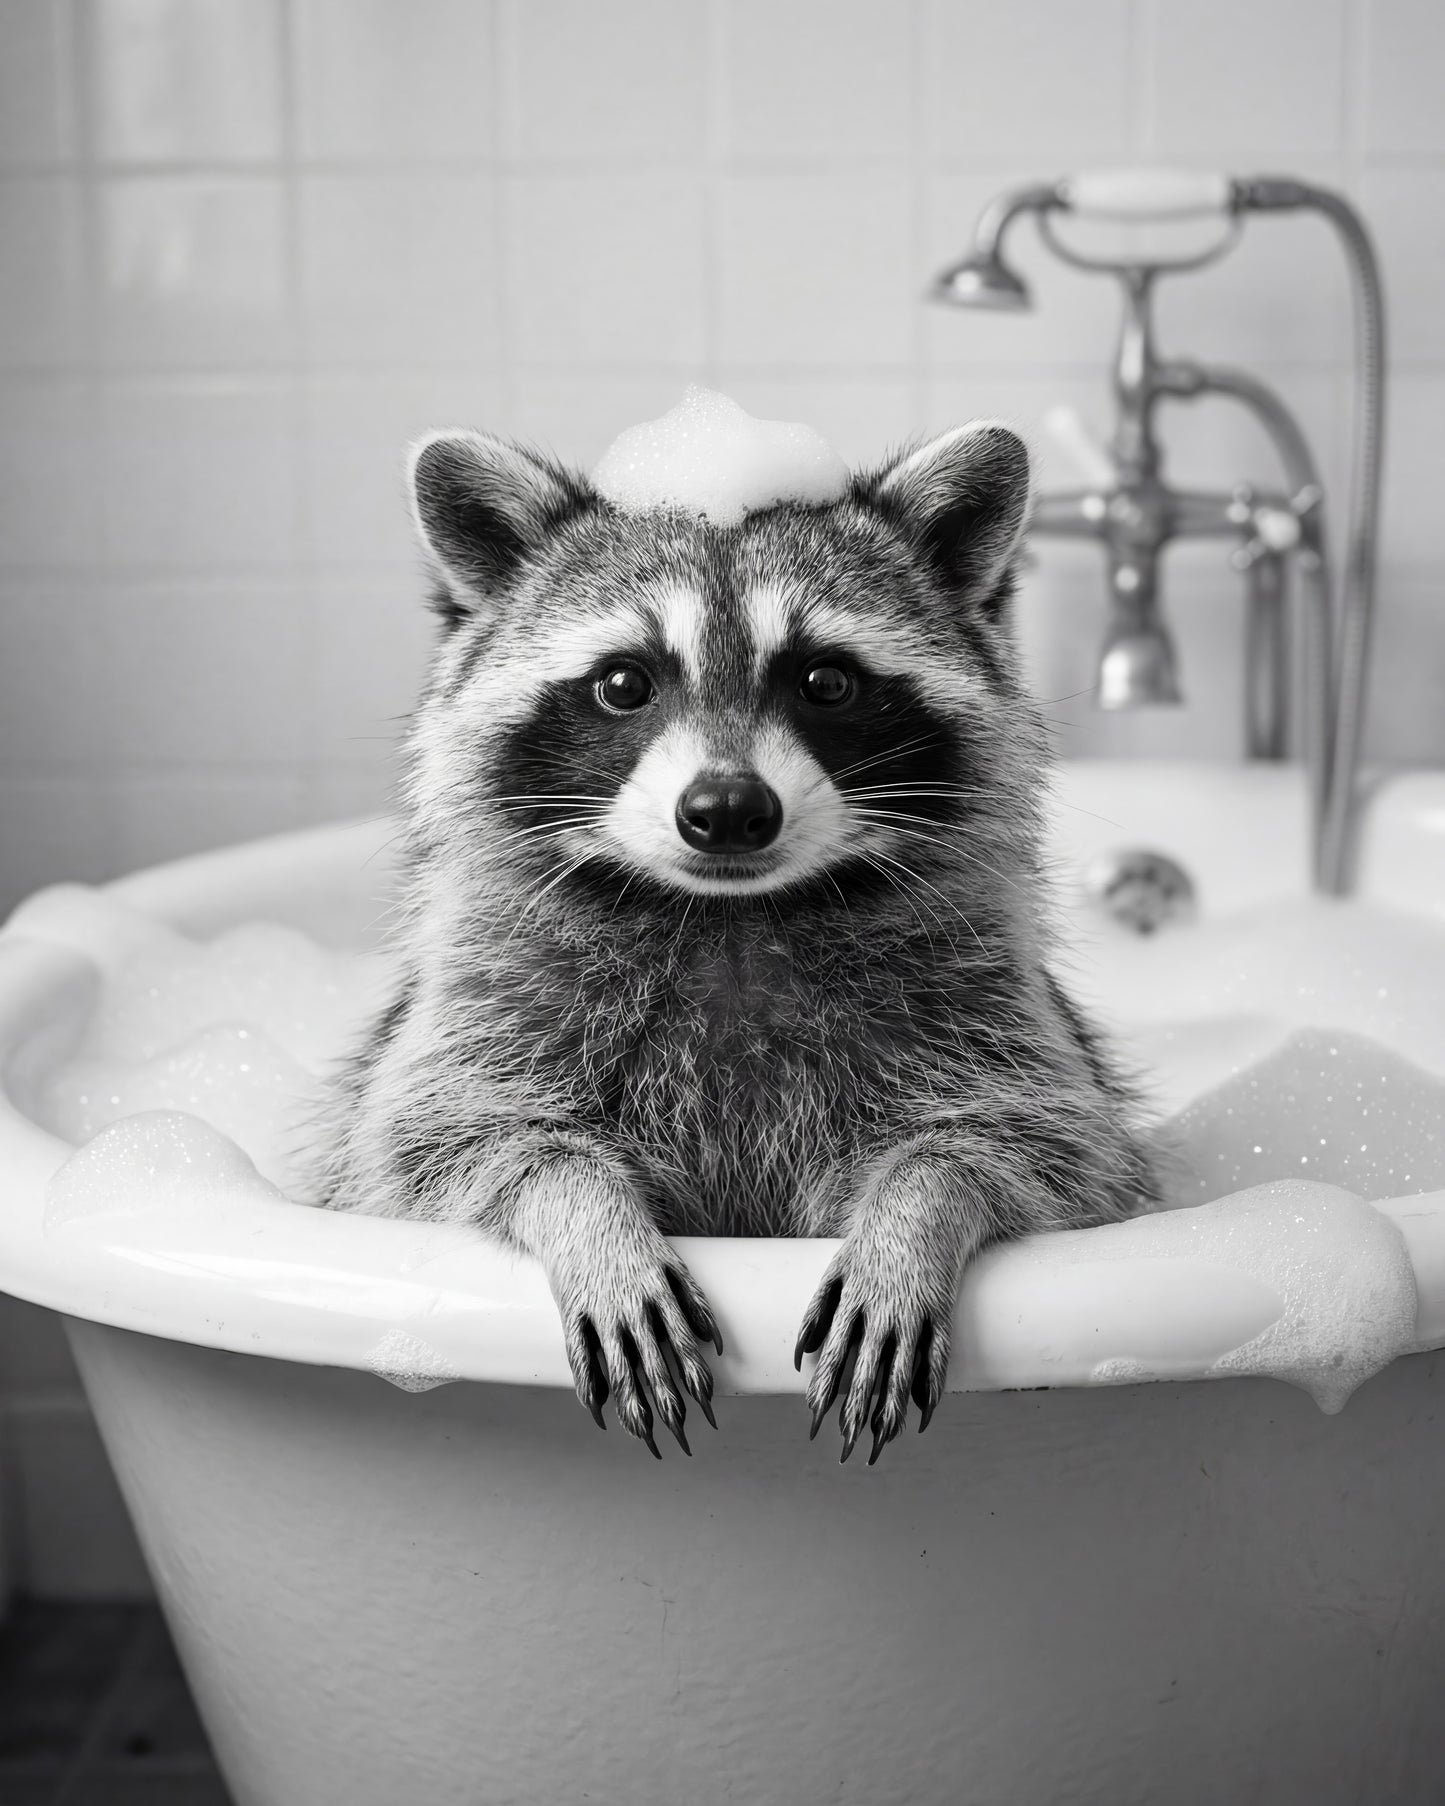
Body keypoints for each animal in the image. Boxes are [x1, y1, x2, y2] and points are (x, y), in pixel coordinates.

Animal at [317, 419, 1159, 1465]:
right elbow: (437, 1144)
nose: (725, 810)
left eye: (826, 681)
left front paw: (915, 1213)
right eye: (623, 683)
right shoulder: (485, 1000)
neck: (731, 918)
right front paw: (587, 1213)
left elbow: (1045, 1150)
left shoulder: (986, 1000)